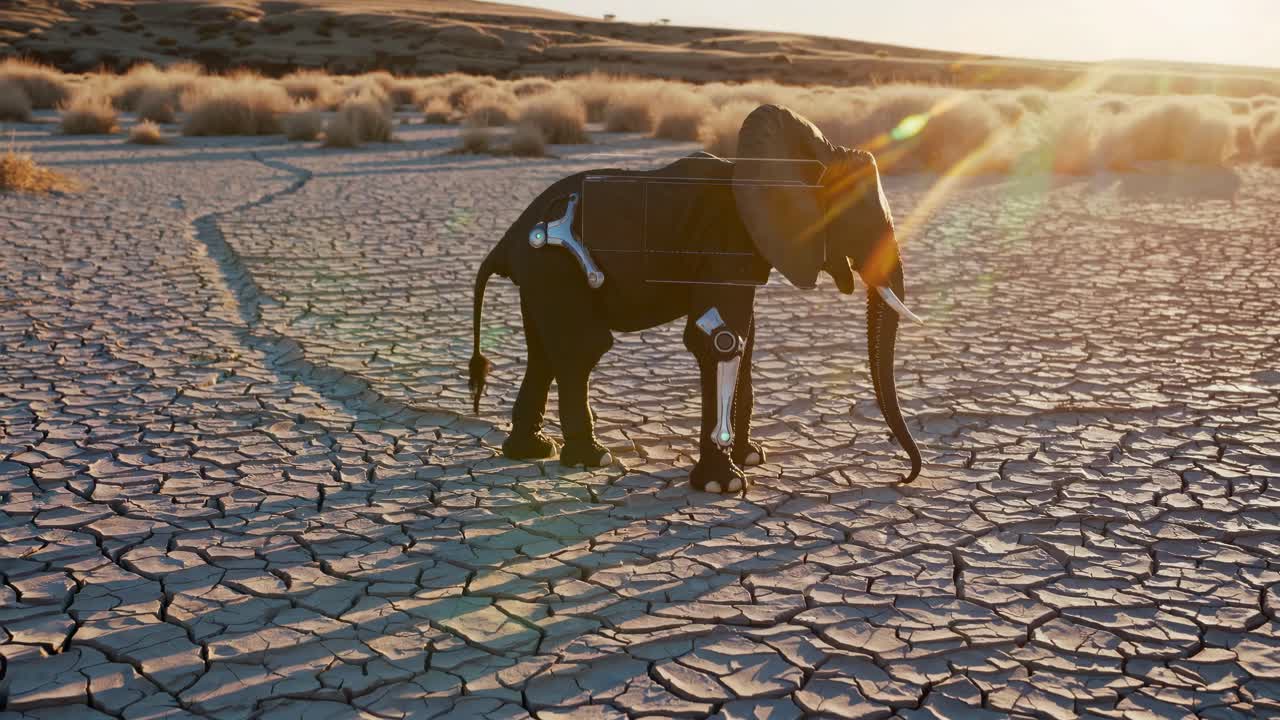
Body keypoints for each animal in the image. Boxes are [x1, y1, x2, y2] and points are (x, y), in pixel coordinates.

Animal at [468, 104, 922, 493]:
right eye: (857, 216)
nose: (904, 477)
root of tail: (507, 240)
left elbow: (746, 338)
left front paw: (752, 457)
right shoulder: (724, 242)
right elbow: (722, 339)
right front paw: (727, 485)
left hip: (542, 275)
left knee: (543, 352)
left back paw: (532, 451)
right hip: (554, 263)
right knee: (583, 347)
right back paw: (591, 459)